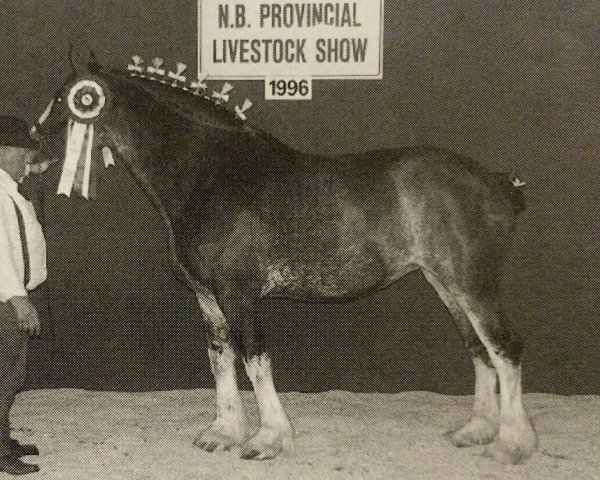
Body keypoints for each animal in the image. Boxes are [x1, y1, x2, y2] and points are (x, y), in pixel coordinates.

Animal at [31, 49, 540, 464]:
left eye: (65, 99)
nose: (33, 145)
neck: (208, 173)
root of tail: (495, 182)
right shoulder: (208, 298)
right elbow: (221, 360)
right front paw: (223, 433)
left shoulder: (238, 295)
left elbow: (255, 360)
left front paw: (268, 439)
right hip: (446, 284)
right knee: (478, 350)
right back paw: (476, 432)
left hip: (472, 283)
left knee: (505, 349)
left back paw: (511, 445)